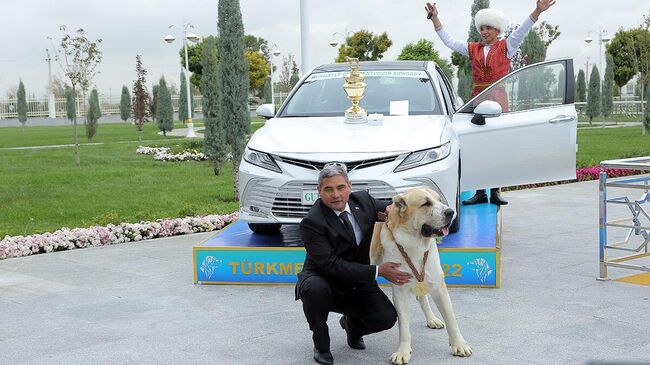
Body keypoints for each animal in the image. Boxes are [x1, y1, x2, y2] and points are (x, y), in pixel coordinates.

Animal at [370, 186, 470, 362]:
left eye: (439, 200)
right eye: (426, 203)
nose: (450, 212)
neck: (415, 245)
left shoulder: (438, 285)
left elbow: (451, 319)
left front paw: (459, 344)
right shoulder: (400, 290)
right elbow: (403, 325)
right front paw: (403, 351)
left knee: (423, 298)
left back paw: (431, 319)